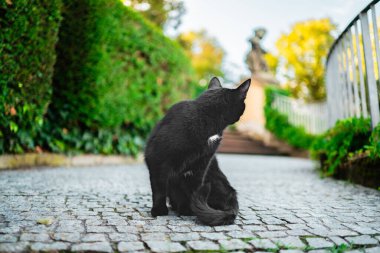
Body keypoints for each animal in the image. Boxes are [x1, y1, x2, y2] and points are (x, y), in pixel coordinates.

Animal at [144, 77, 251, 225]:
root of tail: (231, 195)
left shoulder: (201, 165)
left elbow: (193, 189)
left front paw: (190, 209)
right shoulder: (157, 159)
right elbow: (159, 187)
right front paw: (159, 210)